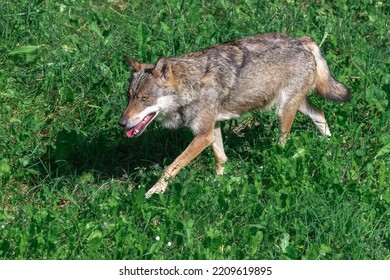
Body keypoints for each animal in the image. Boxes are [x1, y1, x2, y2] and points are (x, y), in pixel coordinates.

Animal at [119, 32, 350, 198]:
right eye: (129, 96)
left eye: (144, 99)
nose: (122, 123)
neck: (191, 85)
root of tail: (303, 41)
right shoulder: (212, 128)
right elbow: (221, 158)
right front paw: (220, 183)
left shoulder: (202, 136)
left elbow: (171, 166)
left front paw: (154, 192)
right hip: (297, 105)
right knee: (320, 113)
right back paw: (330, 146)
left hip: (283, 111)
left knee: (285, 141)